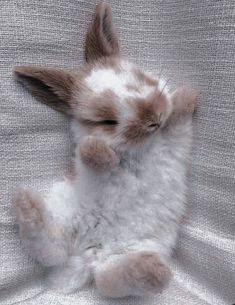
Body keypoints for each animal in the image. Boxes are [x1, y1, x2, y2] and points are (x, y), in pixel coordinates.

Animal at [12, 1, 196, 298]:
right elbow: (89, 153)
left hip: (144, 244)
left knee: (107, 280)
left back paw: (152, 270)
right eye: (107, 121)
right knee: (54, 250)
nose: (154, 119)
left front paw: (186, 94)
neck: (143, 148)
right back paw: (25, 203)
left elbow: (179, 118)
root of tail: (90, 255)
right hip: (65, 210)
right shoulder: (87, 161)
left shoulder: (177, 140)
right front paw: (99, 150)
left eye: (139, 80)